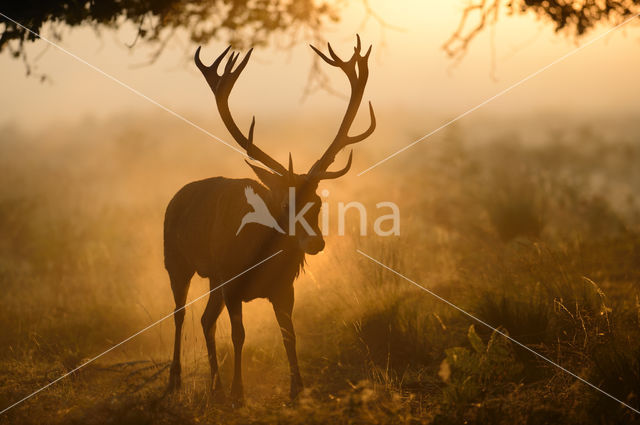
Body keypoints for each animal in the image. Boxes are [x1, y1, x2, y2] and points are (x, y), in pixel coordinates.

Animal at [164, 35, 376, 404]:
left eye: (318, 202)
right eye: (283, 204)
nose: (315, 242)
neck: (262, 259)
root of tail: (175, 197)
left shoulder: (284, 288)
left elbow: (289, 335)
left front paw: (298, 390)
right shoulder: (233, 284)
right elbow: (239, 334)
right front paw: (239, 393)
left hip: (213, 278)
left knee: (205, 319)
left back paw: (215, 384)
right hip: (177, 262)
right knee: (181, 314)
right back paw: (177, 380)